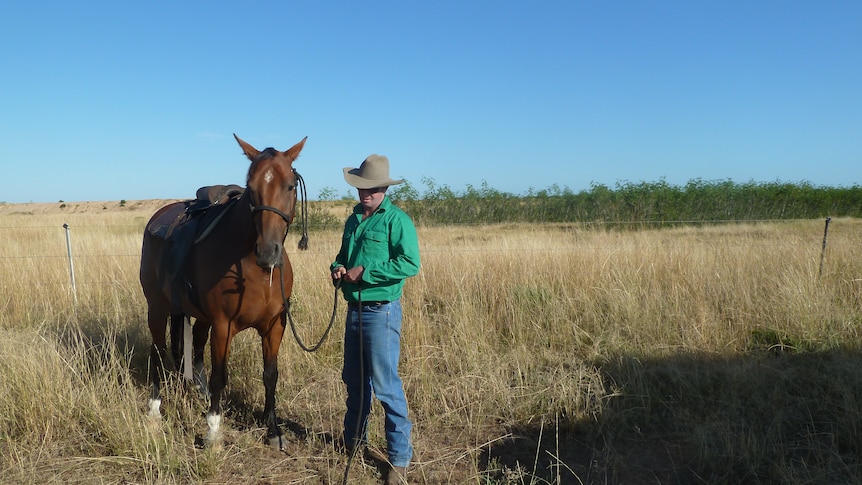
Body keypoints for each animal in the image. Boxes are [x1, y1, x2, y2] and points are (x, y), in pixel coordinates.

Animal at [138, 133, 308, 446]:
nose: (267, 252)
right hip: (157, 308)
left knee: (194, 350)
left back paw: (199, 393)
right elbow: (220, 375)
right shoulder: (223, 326)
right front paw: (213, 431)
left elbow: (270, 374)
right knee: (157, 351)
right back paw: (155, 409)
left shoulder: (274, 326)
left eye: (290, 186)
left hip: (198, 316)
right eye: (251, 188)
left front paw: (273, 429)